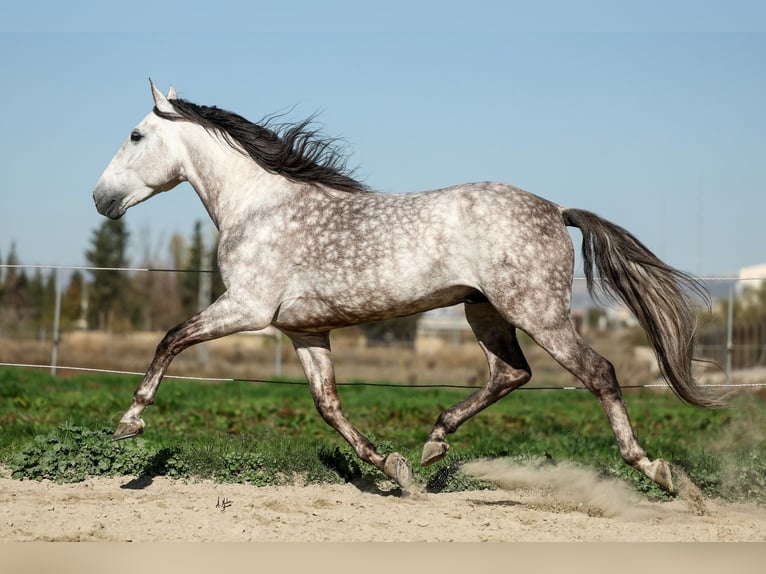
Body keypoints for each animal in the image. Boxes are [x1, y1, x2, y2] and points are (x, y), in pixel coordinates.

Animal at [93, 81, 724, 496]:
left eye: (136, 134)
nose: (101, 199)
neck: (260, 206)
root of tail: (555, 209)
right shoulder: (304, 331)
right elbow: (328, 405)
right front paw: (390, 467)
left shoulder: (246, 308)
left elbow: (171, 339)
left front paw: (129, 423)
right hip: (484, 312)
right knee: (510, 373)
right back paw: (433, 442)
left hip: (537, 312)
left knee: (598, 373)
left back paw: (659, 472)